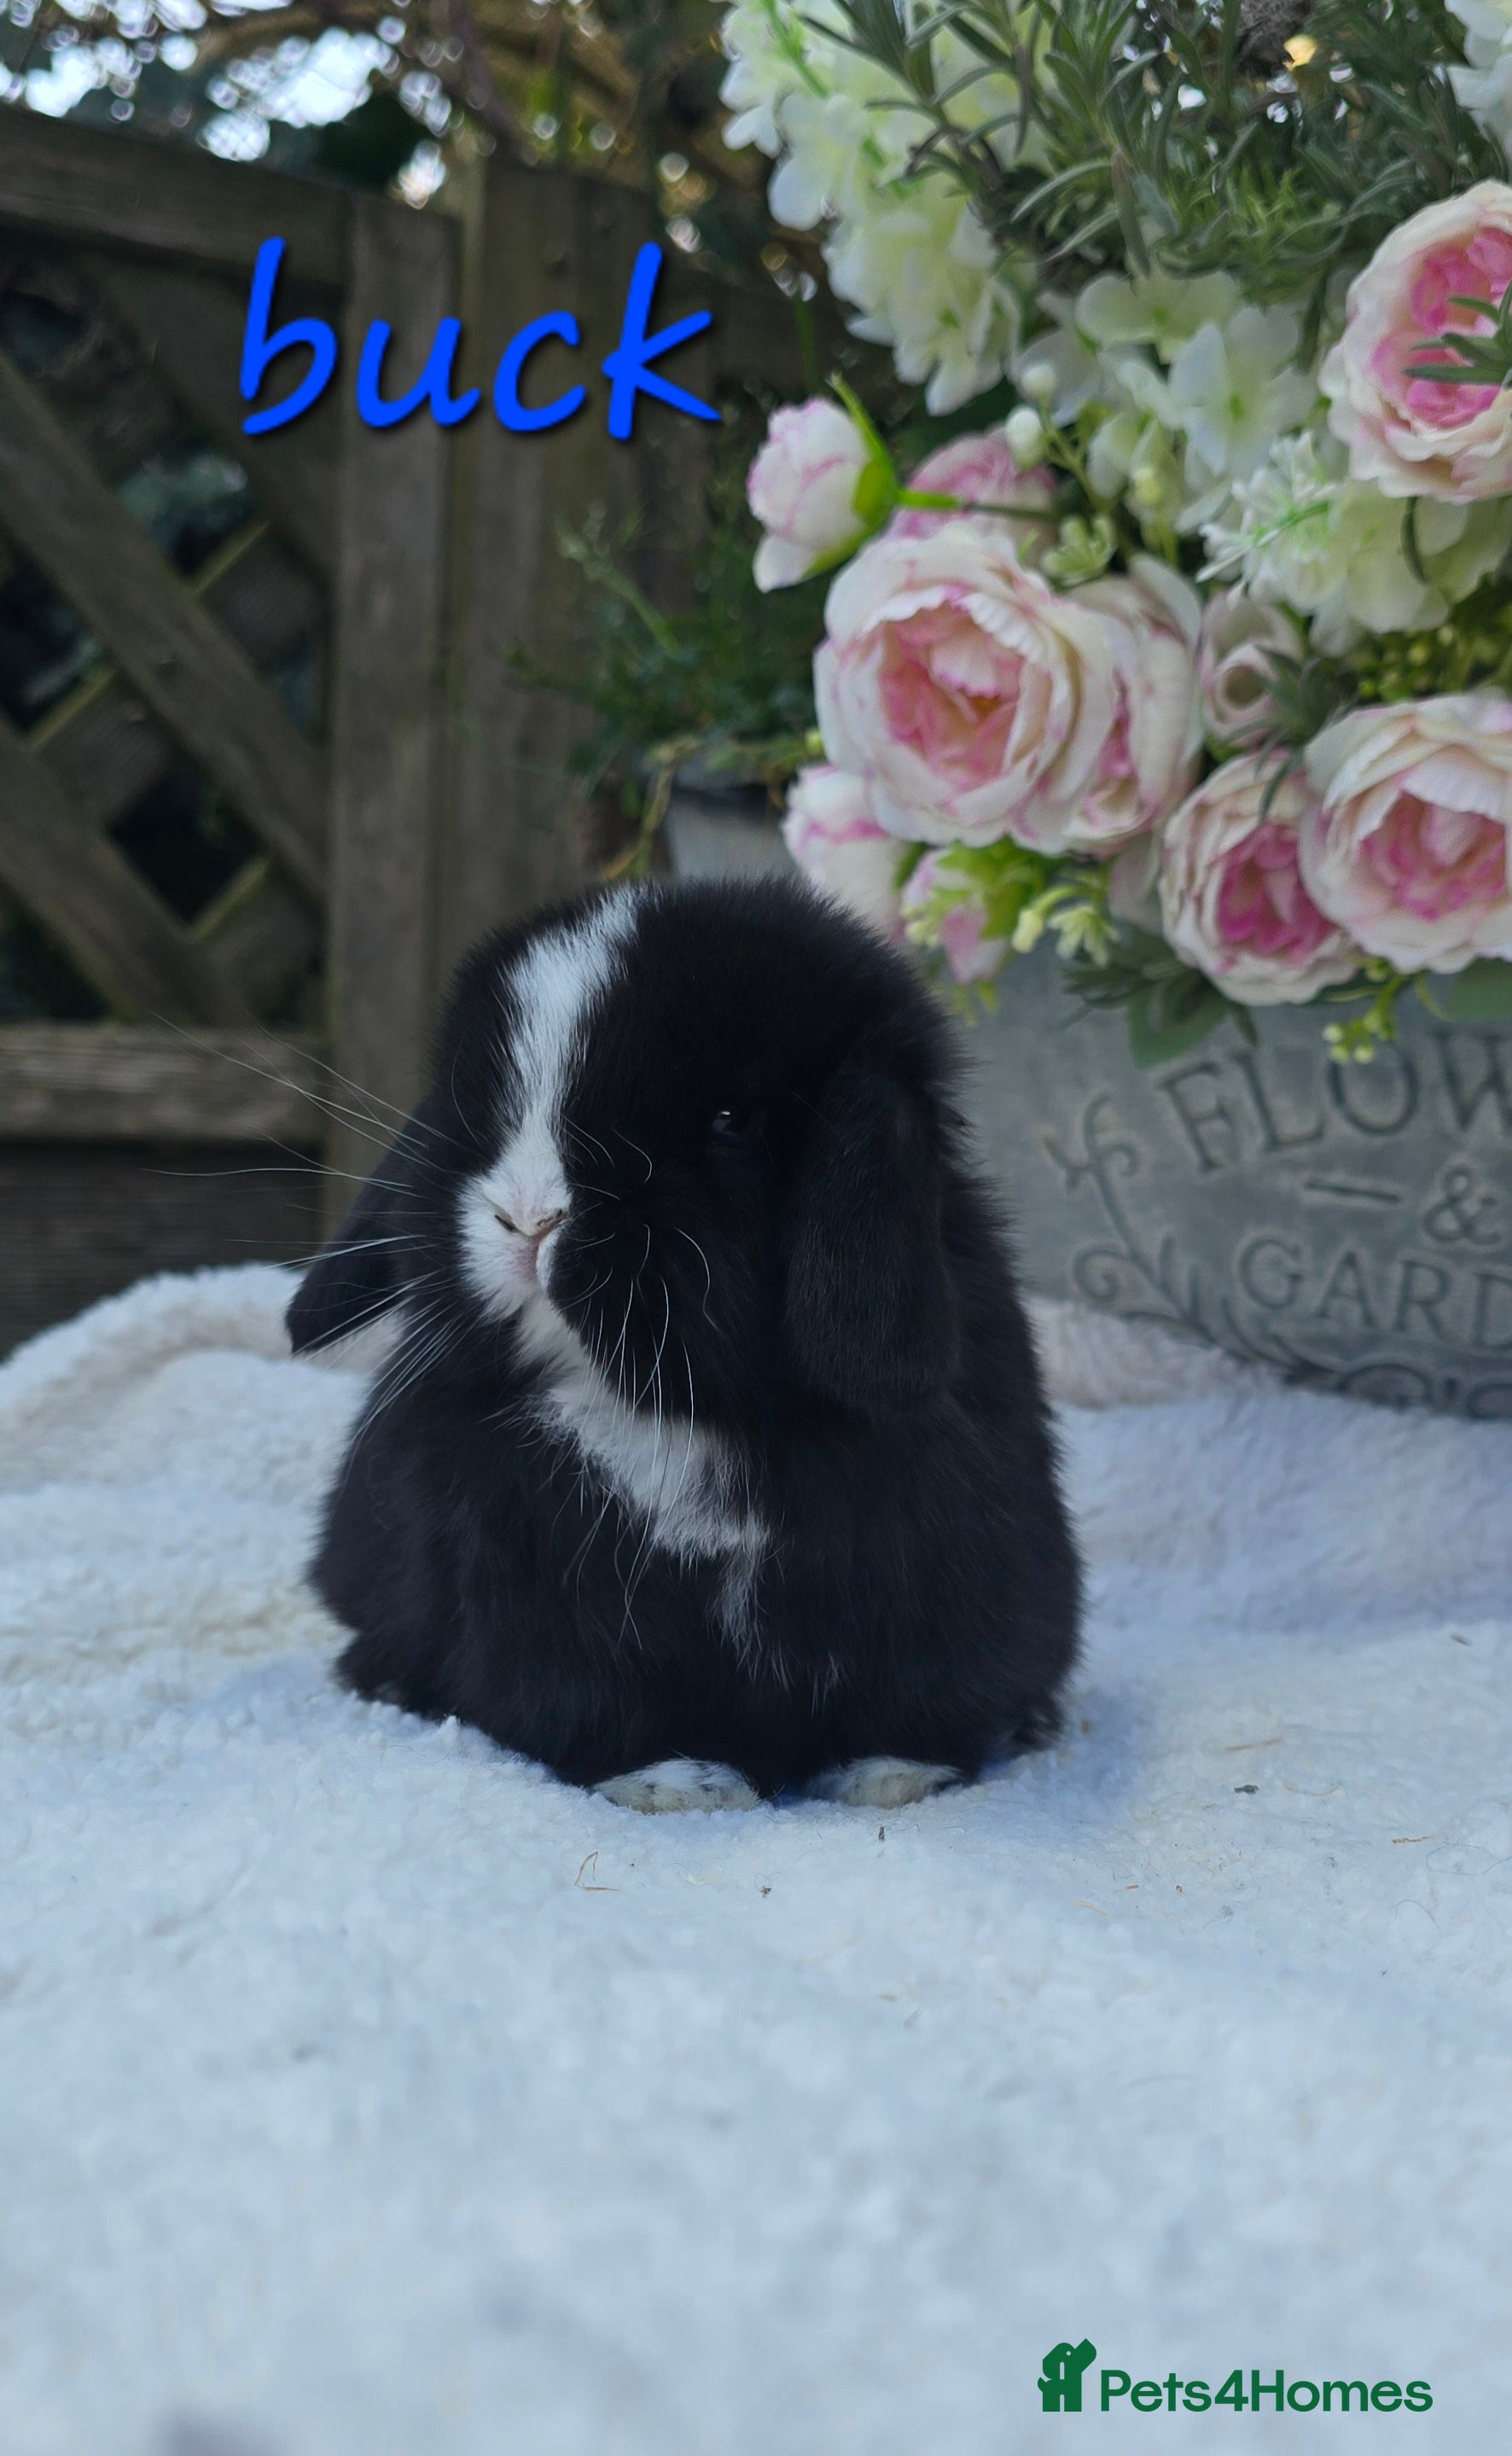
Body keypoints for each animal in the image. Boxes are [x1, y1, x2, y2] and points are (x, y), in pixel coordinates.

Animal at [287, 875, 1081, 1812]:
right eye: (483, 1113)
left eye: (732, 1119)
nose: (527, 1217)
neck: (682, 1414)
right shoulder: (543, 1603)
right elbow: (591, 1702)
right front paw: (676, 1784)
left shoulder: (935, 1572)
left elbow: (919, 1695)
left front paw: (895, 1776)